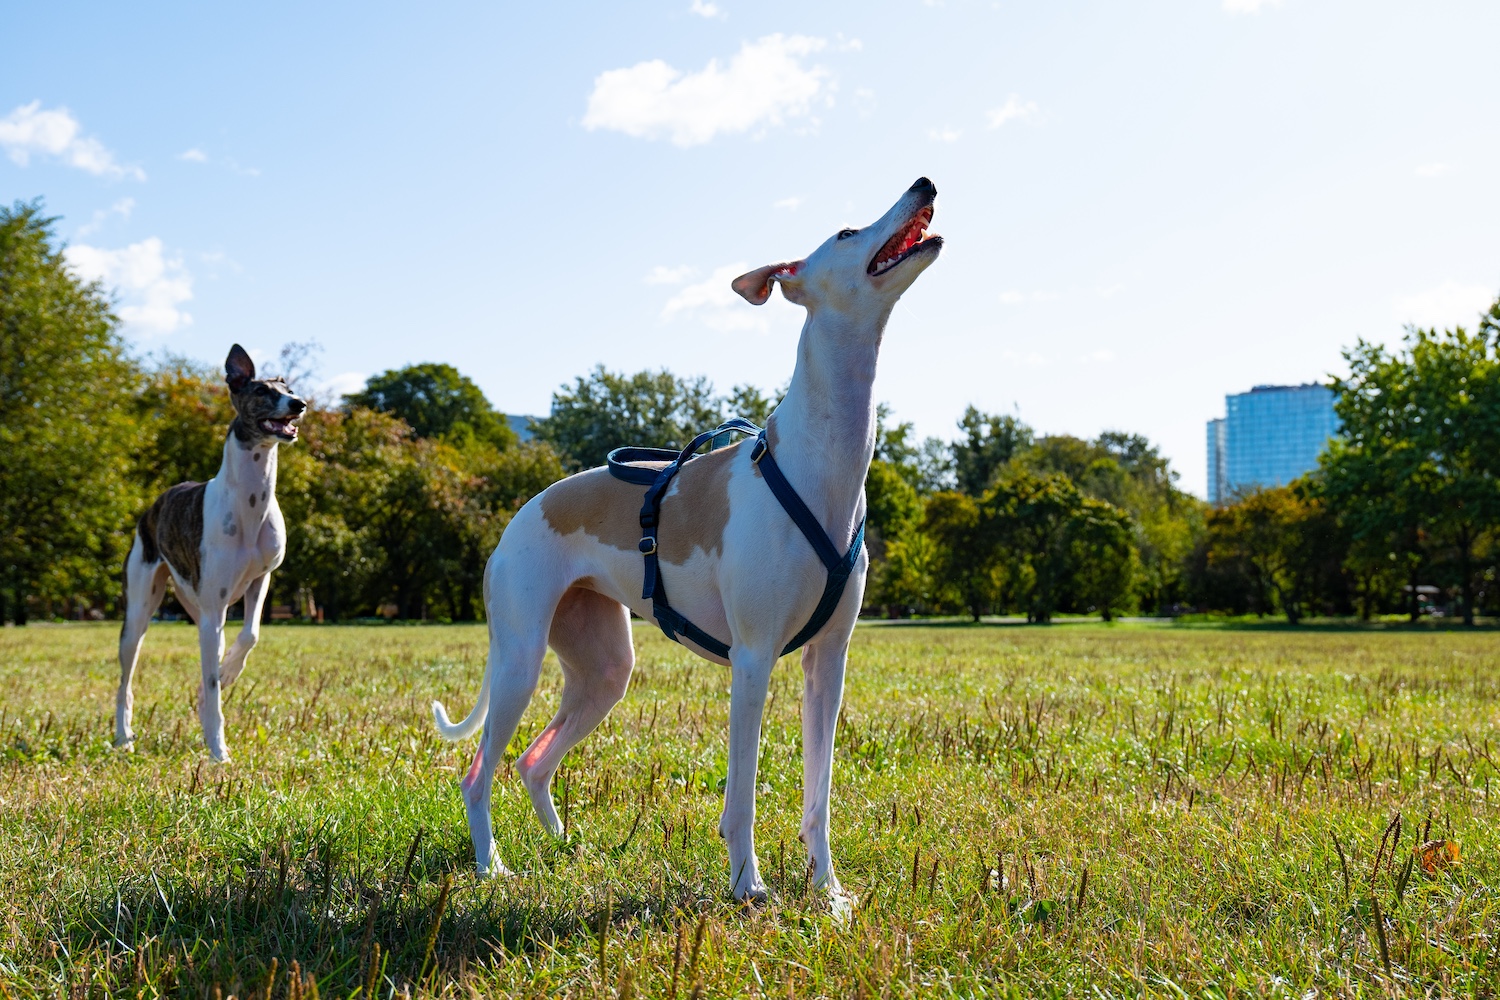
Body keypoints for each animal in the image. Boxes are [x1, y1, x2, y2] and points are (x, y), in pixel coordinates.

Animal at [118, 344, 306, 758]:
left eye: (288, 388)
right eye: (261, 391)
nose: (300, 404)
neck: (249, 502)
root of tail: (154, 504)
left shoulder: (259, 580)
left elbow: (249, 636)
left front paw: (229, 672)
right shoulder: (213, 608)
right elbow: (210, 680)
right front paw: (219, 750)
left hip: (199, 607)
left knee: (215, 652)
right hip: (140, 608)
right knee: (126, 677)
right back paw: (122, 735)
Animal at [435, 179, 942, 905]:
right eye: (847, 232)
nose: (925, 184)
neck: (819, 462)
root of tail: (525, 511)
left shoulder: (828, 664)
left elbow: (819, 794)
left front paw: (828, 892)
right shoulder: (754, 659)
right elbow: (743, 797)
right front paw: (748, 886)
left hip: (604, 669)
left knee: (534, 760)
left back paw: (563, 846)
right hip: (518, 657)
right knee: (477, 772)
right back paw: (491, 867)